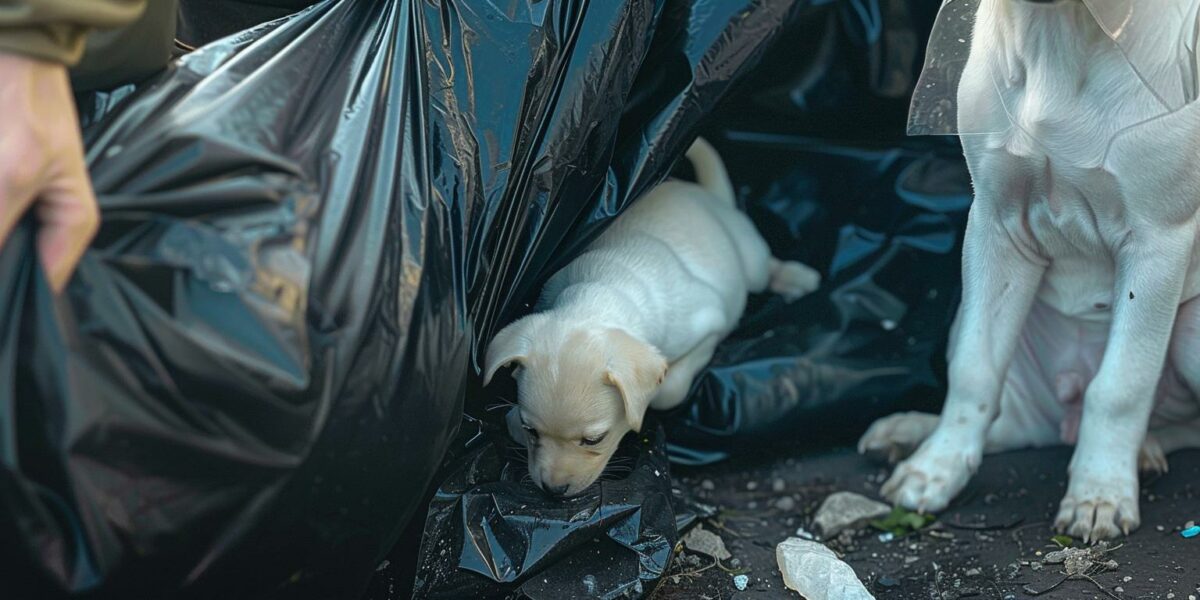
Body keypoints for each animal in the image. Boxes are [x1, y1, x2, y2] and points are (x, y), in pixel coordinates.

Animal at [482, 137, 820, 496]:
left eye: (594, 439)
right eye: (531, 430)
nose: (553, 491)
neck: (602, 290)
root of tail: (709, 198)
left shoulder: (710, 322)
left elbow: (669, 389)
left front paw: (647, 403)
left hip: (750, 260)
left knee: (766, 266)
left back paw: (796, 278)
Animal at [859, 0, 1200, 544]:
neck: (1063, 34)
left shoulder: (1157, 241)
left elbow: (1121, 384)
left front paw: (1099, 492)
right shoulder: (995, 224)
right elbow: (974, 370)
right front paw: (936, 468)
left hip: (1190, 327)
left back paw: (1144, 450)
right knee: (1009, 419)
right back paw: (908, 433)